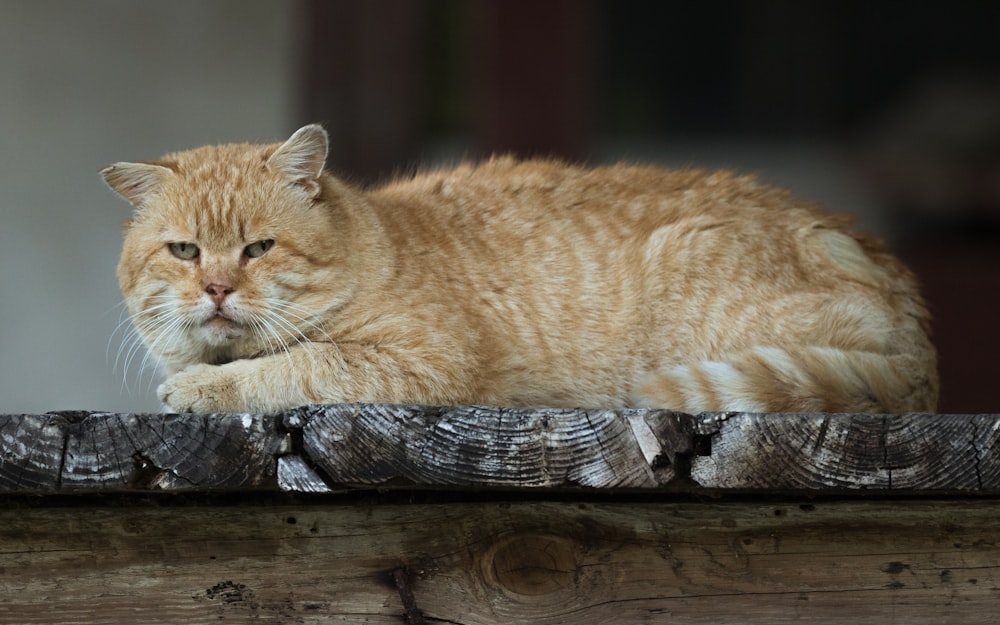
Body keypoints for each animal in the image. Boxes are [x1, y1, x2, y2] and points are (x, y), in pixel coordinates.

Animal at [101, 123, 936, 412]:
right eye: (184, 250)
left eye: (258, 249)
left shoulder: (423, 359)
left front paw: (202, 388)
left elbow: (294, 367)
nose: (216, 287)